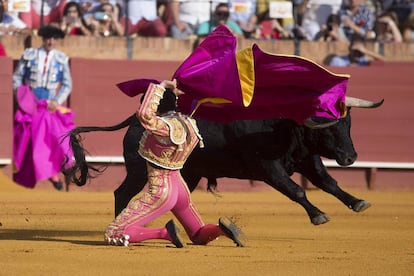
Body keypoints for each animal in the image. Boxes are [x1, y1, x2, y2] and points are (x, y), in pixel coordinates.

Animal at [67, 99, 382, 224]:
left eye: (348, 124)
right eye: (328, 128)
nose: (350, 157)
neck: (284, 125)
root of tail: (136, 119)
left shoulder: (307, 159)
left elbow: (328, 182)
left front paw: (358, 202)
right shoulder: (269, 169)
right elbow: (297, 190)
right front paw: (318, 215)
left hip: (188, 173)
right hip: (137, 170)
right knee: (122, 192)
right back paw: (120, 221)